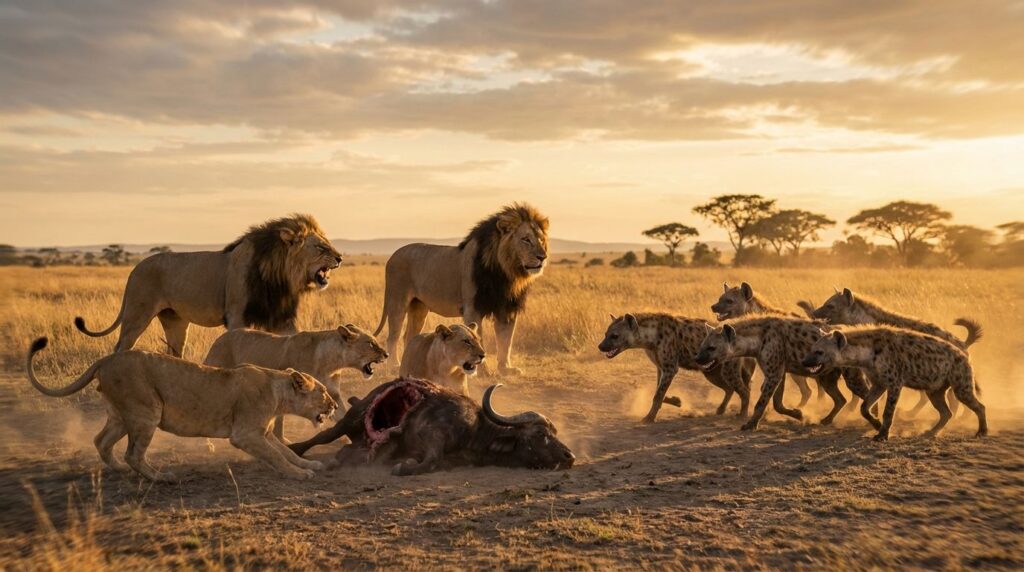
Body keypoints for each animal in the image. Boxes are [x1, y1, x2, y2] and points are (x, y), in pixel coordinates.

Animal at [26, 337, 338, 481]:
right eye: (322, 392)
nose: (335, 405)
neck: (279, 392)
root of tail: (105, 359)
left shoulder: (265, 432)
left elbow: (286, 451)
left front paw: (309, 464)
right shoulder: (245, 434)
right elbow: (276, 456)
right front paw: (298, 474)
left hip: (120, 416)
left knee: (101, 441)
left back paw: (121, 470)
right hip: (146, 411)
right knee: (133, 454)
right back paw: (161, 477)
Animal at [74, 214, 342, 357]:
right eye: (320, 247)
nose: (340, 257)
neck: (280, 277)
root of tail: (135, 269)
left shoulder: (281, 318)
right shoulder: (237, 316)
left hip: (175, 321)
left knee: (174, 351)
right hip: (137, 314)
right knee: (120, 346)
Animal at [204, 323, 389, 436]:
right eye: (371, 344)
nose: (387, 354)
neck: (332, 363)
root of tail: (218, 339)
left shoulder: (333, 393)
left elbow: (341, 415)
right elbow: (279, 421)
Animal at [374, 203, 549, 375]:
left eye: (541, 240)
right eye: (526, 240)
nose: (543, 257)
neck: (506, 272)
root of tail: (392, 256)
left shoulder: (506, 309)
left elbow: (506, 341)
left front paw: (505, 369)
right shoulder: (473, 308)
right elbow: (479, 337)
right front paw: (483, 370)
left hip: (419, 307)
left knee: (409, 336)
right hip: (397, 300)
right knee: (393, 336)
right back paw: (394, 366)